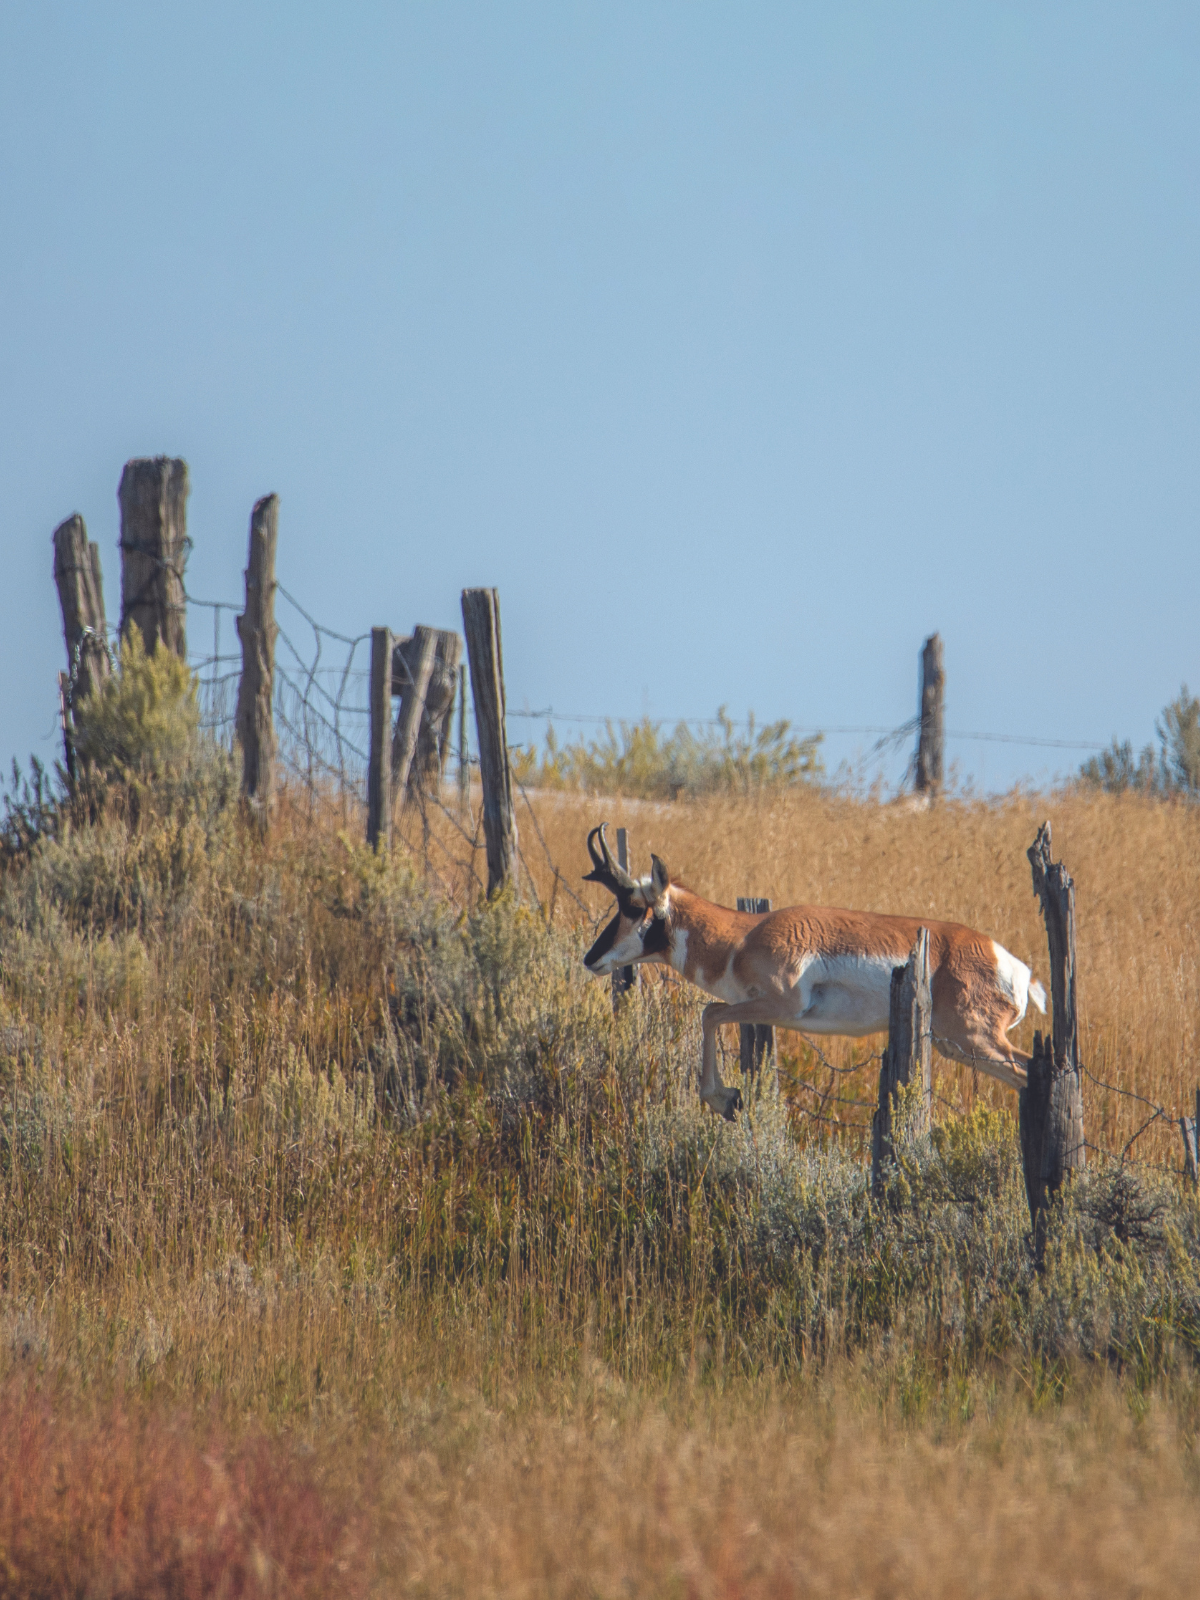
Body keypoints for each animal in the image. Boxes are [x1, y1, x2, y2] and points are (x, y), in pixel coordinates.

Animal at [588, 819, 1049, 1120]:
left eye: (634, 907)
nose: (590, 959)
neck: (744, 936)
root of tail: (1010, 963)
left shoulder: (782, 1006)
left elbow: (709, 1012)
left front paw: (726, 1100)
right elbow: (712, 1013)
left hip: (974, 1039)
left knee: (1027, 1075)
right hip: (955, 1044)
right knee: (1027, 1074)